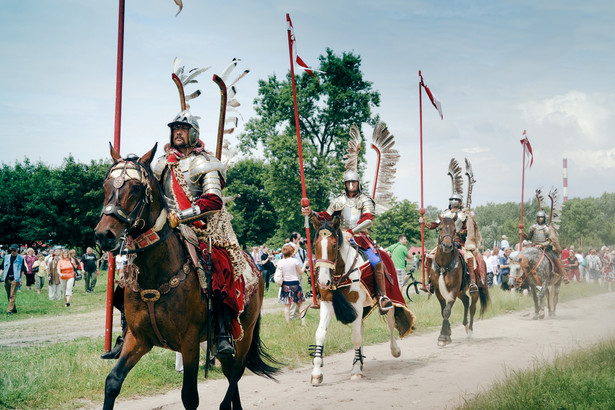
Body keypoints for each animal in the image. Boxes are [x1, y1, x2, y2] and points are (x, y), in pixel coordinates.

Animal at [95, 144, 278, 410]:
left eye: (136, 188)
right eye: (105, 185)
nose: (104, 235)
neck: (155, 274)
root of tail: (254, 268)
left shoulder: (189, 343)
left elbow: (190, 396)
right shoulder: (137, 339)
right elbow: (112, 381)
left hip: (243, 334)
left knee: (236, 372)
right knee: (230, 373)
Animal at [430, 218, 488, 346]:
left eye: (454, 230)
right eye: (440, 228)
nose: (447, 246)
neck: (444, 264)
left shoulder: (453, 290)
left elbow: (447, 311)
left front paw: (443, 337)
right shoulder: (438, 291)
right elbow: (443, 311)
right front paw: (448, 333)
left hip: (473, 291)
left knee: (472, 308)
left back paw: (470, 330)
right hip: (460, 291)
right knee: (466, 301)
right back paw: (465, 325)